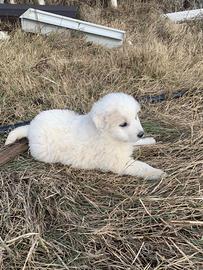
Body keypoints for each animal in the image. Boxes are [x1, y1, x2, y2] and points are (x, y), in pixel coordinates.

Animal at [5, 92, 166, 179]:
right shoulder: (118, 162)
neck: (106, 134)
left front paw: (149, 140)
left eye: (136, 117)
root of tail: (31, 127)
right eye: (123, 124)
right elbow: (140, 166)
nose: (141, 133)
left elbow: (134, 142)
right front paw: (157, 172)